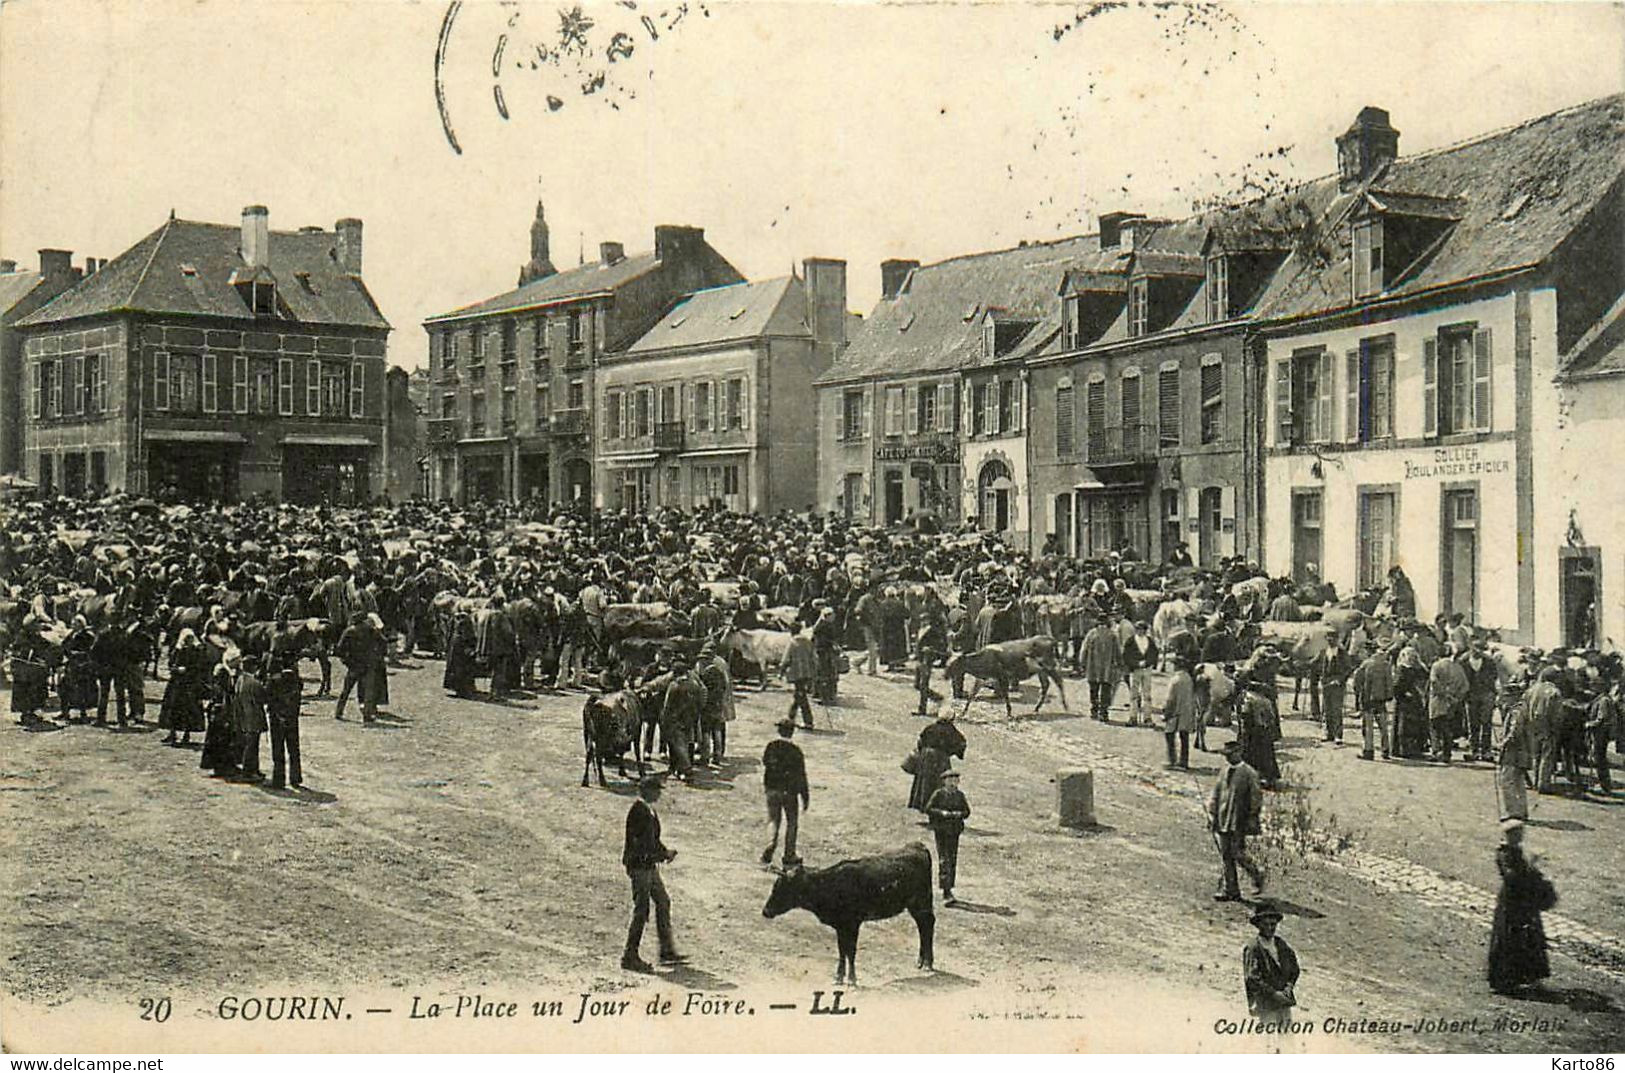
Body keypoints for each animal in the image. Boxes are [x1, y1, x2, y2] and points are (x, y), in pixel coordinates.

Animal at [763, 845, 942, 981]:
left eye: (782, 888)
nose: (765, 911)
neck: (829, 884)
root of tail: (918, 846)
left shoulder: (853, 924)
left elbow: (851, 950)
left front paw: (851, 979)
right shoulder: (840, 926)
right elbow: (842, 950)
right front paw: (839, 977)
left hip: (922, 901)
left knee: (928, 925)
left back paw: (928, 964)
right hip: (915, 906)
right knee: (922, 927)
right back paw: (921, 962)